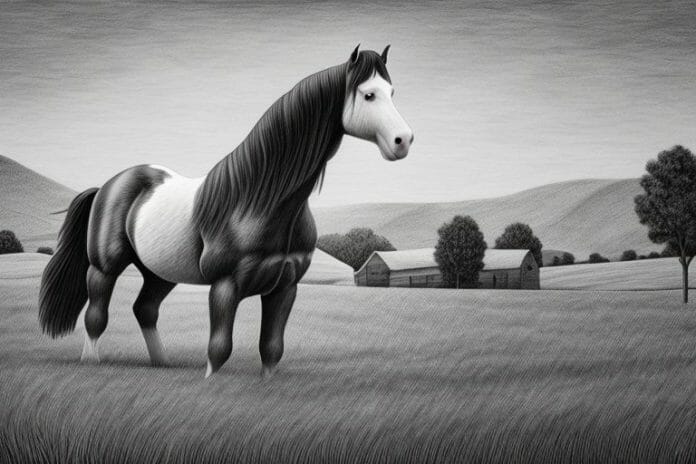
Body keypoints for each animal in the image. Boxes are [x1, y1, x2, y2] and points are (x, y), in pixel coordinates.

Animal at [38, 45, 413, 378]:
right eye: (368, 95)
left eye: (393, 91)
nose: (404, 140)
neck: (259, 203)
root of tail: (109, 185)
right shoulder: (225, 286)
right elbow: (219, 349)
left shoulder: (285, 288)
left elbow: (271, 349)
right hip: (104, 268)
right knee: (96, 316)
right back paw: (92, 362)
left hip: (159, 273)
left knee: (145, 309)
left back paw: (162, 364)